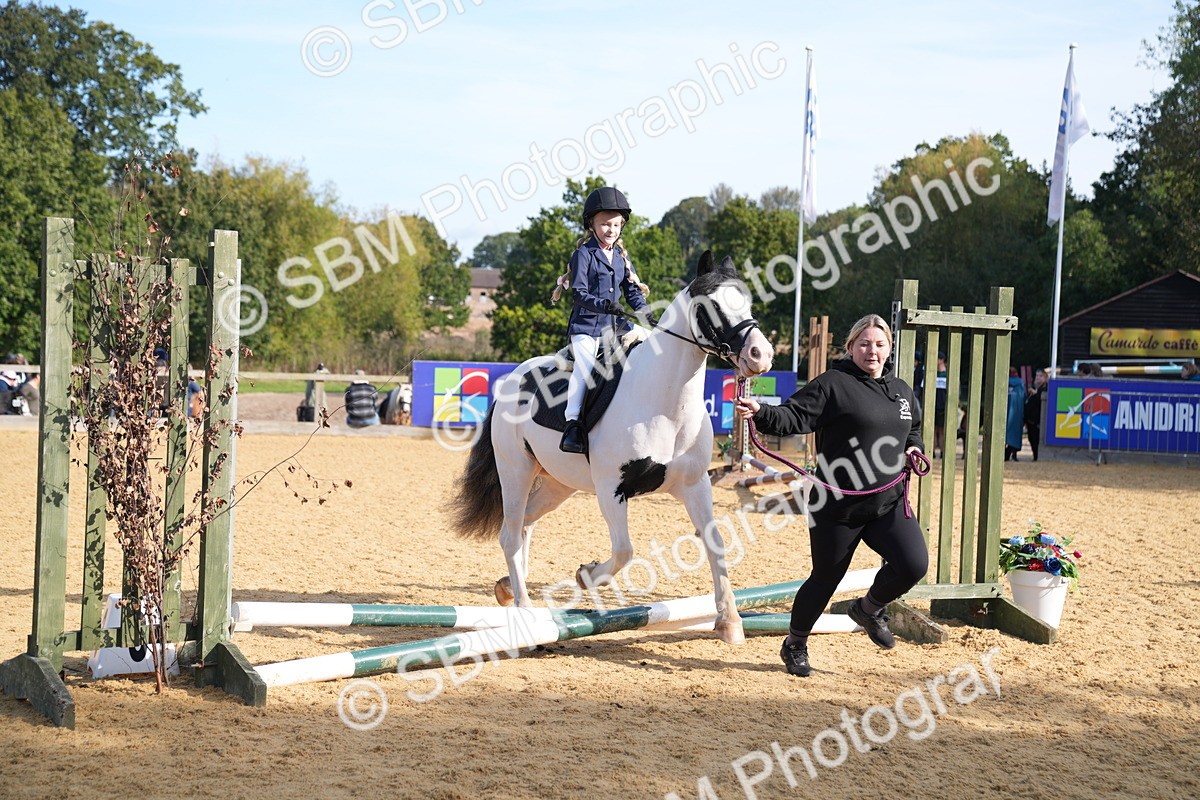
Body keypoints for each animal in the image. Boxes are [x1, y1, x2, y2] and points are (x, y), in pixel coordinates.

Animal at [451, 251, 774, 644]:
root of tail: (513, 378)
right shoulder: (611, 490)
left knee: (525, 523)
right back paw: (525, 613)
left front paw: (729, 621)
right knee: (510, 534)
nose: (760, 355)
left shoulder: (696, 485)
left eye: (747, 301)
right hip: (516, 471)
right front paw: (586, 575)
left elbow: (715, 543)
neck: (663, 400)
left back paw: (508, 589)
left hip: (558, 483)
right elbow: (624, 551)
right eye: (712, 305)